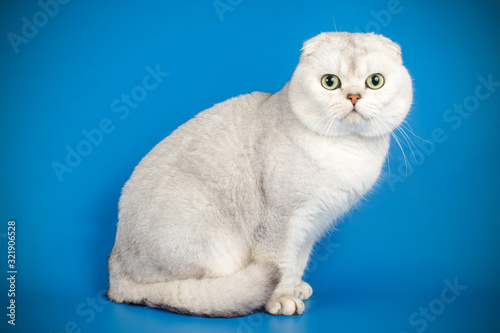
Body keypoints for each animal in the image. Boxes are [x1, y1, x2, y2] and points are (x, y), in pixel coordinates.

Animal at [107, 31, 412, 316]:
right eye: (330, 82)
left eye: (375, 81)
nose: (354, 97)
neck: (348, 150)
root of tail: (114, 276)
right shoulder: (281, 220)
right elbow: (281, 263)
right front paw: (282, 299)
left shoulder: (312, 224)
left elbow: (297, 261)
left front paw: (296, 288)